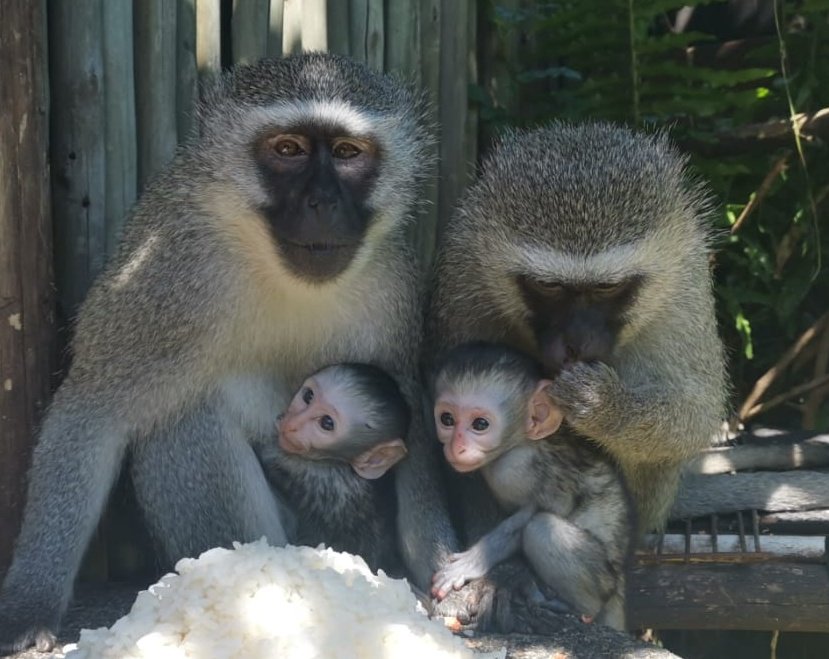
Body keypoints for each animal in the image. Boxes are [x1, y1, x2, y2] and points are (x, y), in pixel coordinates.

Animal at [429, 342, 633, 630]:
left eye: (480, 424)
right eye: (447, 419)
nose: (457, 447)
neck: (519, 442)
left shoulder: (514, 467)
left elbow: (538, 512)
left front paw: (474, 560)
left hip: (603, 579)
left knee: (541, 527)